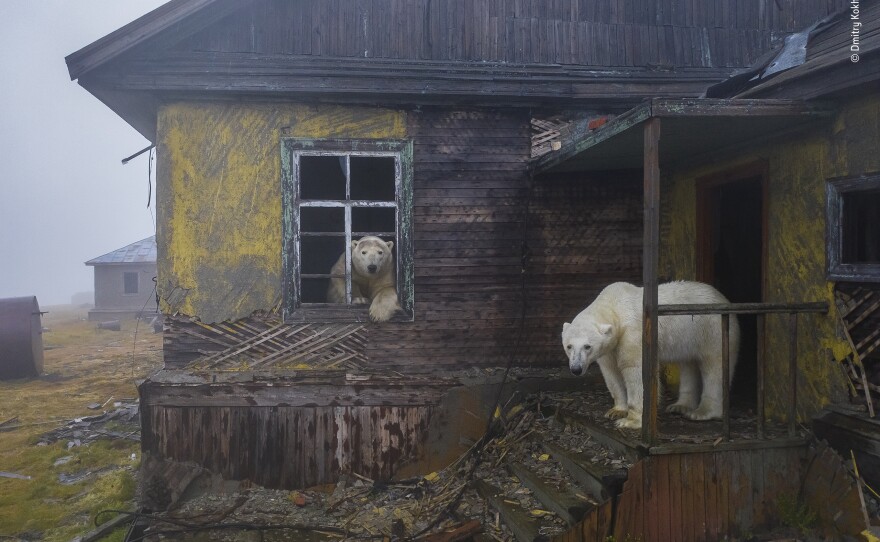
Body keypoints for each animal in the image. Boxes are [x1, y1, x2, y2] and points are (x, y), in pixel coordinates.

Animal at [561, 281, 739, 430]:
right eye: (569, 346)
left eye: (587, 346)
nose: (576, 369)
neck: (614, 306)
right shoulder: (610, 347)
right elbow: (611, 372)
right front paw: (616, 411)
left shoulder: (633, 334)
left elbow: (636, 370)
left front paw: (630, 421)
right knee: (688, 364)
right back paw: (680, 406)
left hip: (711, 329)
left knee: (714, 366)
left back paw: (702, 412)